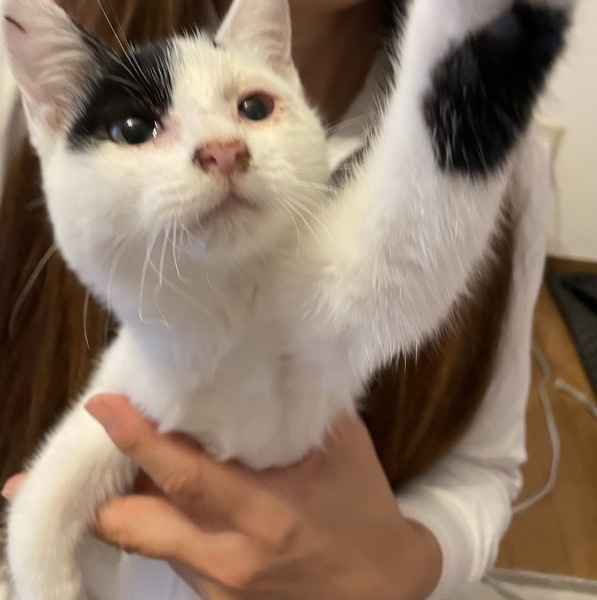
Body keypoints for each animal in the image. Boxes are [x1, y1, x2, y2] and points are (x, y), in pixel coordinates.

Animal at [2, 0, 574, 598]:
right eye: (134, 129)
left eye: (254, 107)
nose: (224, 151)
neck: (221, 314)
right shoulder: (131, 388)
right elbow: (37, 509)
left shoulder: (320, 354)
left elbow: (410, 239)